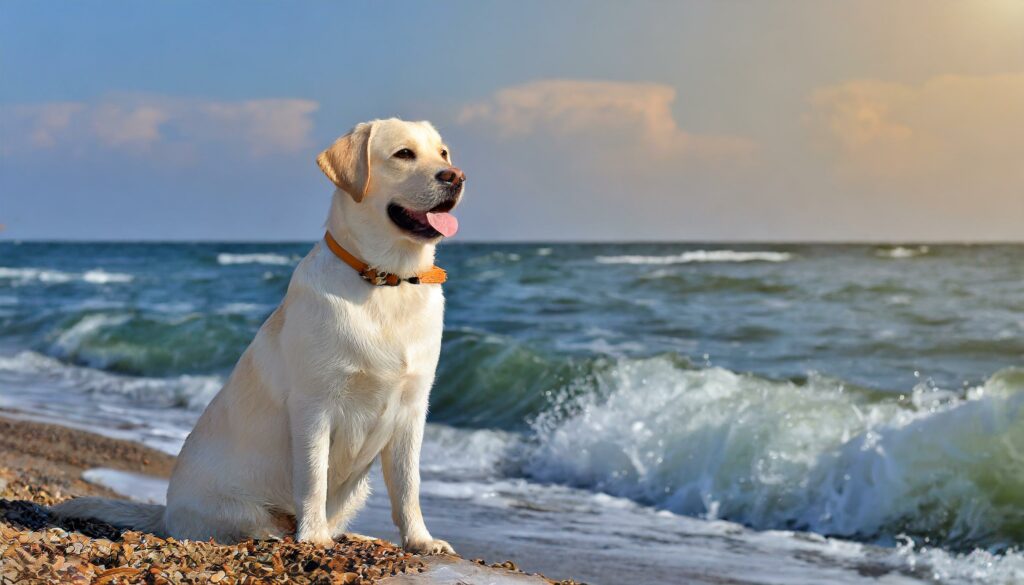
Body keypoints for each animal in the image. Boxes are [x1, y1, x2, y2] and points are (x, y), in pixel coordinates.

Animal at [56, 118, 464, 553]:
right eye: (404, 154)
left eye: (442, 154)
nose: (455, 176)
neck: (386, 282)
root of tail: (165, 514)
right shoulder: (314, 406)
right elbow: (313, 479)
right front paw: (314, 537)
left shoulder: (412, 409)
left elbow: (408, 486)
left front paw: (420, 540)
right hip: (237, 509)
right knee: (260, 527)